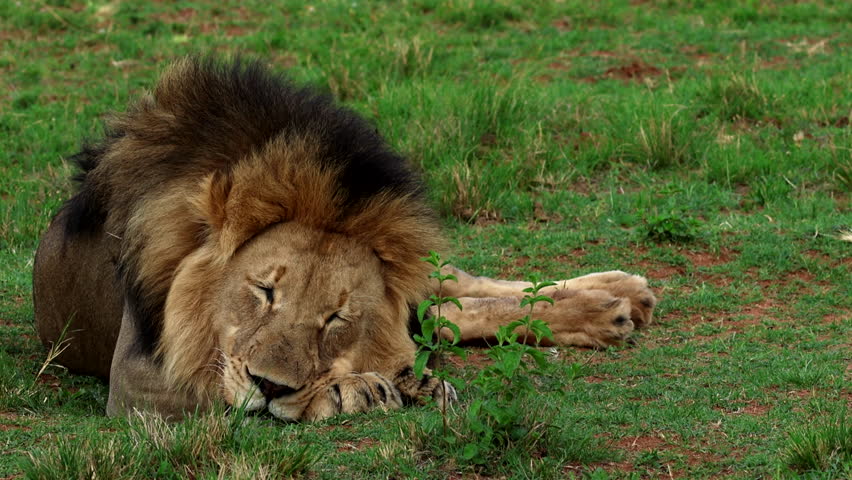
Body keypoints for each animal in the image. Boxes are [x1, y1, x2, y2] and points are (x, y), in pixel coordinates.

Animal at [33, 57, 656, 422]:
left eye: (335, 318)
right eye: (263, 291)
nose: (269, 385)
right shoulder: (136, 382)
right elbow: (226, 385)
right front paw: (365, 389)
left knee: (453, 293)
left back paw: (617, 296)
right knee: (447, 312)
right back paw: (612, 307)